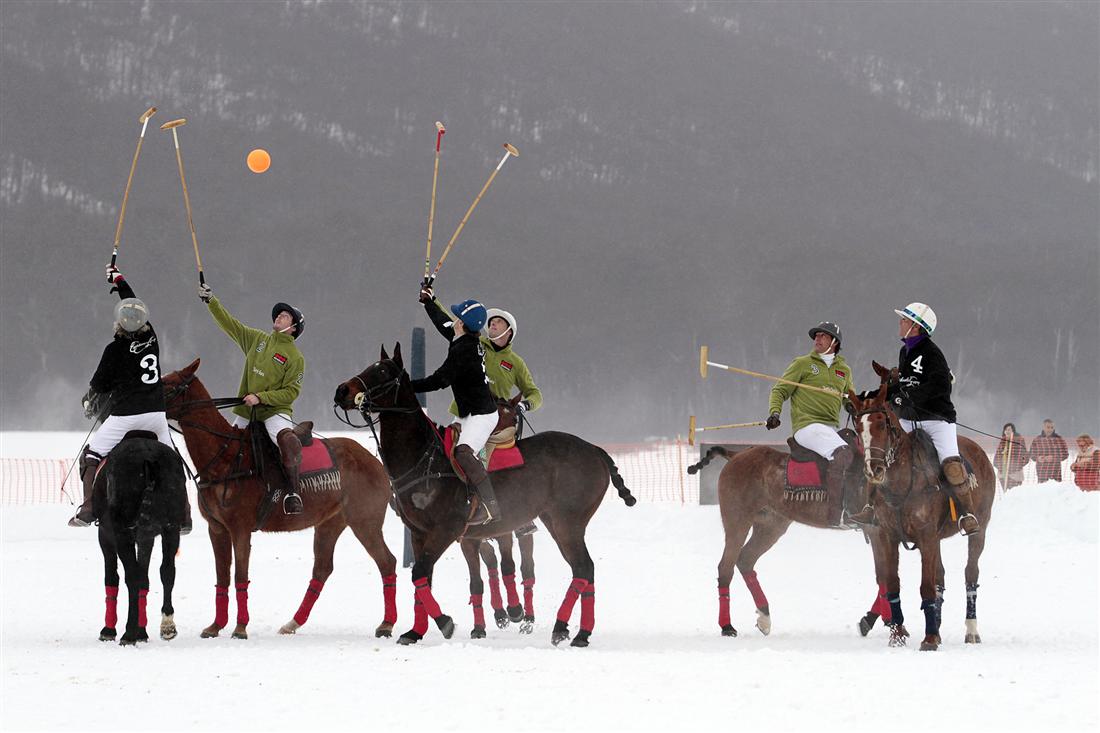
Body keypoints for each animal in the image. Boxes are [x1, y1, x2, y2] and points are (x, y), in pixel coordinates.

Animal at [93, 433, 188, 645]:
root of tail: (149, 459)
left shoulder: (106, 534)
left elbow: (113, 577)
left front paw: (109, 630)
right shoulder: (148, 536)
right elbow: (146, 578)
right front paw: (142, 631)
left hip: (122, 532)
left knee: (132, 576)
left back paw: (128, 633)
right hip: (171, 529)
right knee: (167, 571)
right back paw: (167, 626)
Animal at [161, 359, 398, 639]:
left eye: (169, 386)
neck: (225, 458)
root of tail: (376, 461)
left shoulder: (240, 529)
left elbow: (240, 576)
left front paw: (240, 628)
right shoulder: (216, 528)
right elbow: (222, 577)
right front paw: (215, 626)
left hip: (365, 521)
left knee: (387, 562)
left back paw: (386, 624)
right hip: (330, 523)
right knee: (322, 568)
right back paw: (292, 623)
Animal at [334, 344, 636, 647]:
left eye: (383, 371)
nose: (342, 391)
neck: (423, 457)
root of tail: (595, 449)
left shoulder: (448, 528)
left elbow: (420, 573)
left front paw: (445, 623)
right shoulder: (420, 533)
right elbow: (424, 579)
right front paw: (415, 631)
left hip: (568, 521)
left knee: (583, 567)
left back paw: (567, 629)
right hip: (554, 520)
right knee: (583, 569)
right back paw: (575, 631)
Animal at [689, 430, 878, 638]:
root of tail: (737, 454)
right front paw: (871, 622)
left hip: (771, 524)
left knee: (745, 559)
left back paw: (764, 617)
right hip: (738, 519)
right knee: (726, 566)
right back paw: (727, 626)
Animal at [848, 361, 996, 650]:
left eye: (882, 424)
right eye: (859, 427)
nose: (874, 470)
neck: (901, 484)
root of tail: (979, 451)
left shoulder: (926, 535)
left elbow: (926, 585)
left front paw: (929, 639)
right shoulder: (887, 535)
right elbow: (892, 583)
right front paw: (897, 635)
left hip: (980, 529)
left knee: (970, 574)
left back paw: (971, 630)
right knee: (941, 577)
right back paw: (936, 624)